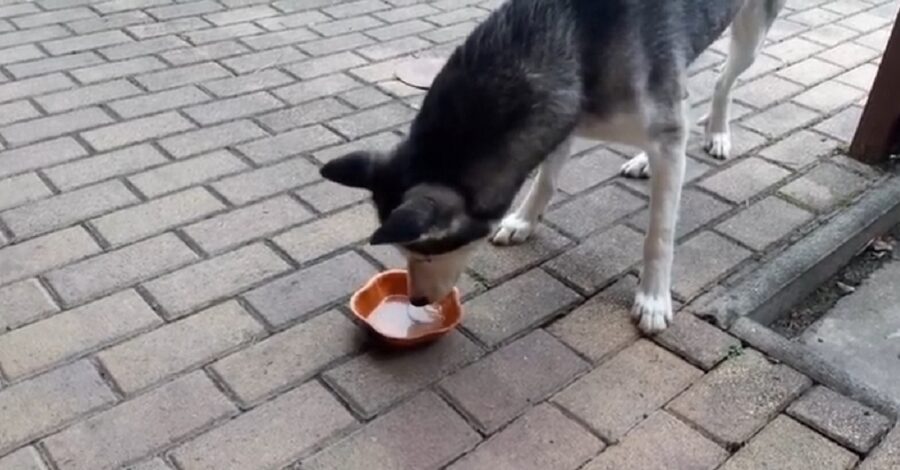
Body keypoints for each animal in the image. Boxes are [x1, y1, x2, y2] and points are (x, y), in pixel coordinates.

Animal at [320, 0, 784, 334]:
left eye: (429, 253)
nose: (416, 302)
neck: (575, 40)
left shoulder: (659, 131)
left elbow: (660, 234)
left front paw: (653, 297)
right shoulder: (564, 116)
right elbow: (545, 177)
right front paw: (524, 221)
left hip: (749, 35)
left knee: (724, 79)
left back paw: (717, 131)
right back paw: (645, 159)